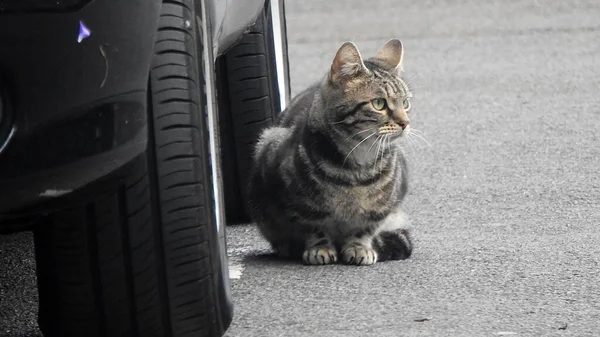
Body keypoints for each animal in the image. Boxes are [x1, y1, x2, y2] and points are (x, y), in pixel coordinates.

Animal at [247, 38, 412, 266]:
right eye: (379, 103)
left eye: (405, 103)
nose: (405, 122)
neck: (356, 170)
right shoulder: (299, 206)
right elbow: (314, 228)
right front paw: (320, 248)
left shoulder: (380, 210)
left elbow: (364, 229)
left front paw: (359, 247)